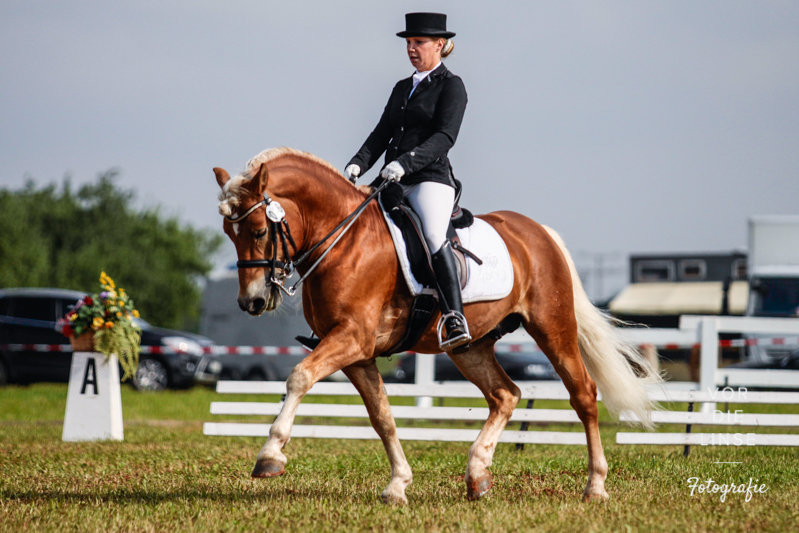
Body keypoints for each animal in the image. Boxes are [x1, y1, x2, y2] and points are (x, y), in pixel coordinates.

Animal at [216, 149, 660, 502]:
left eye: (259, 230)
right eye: (228, 234)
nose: (251, 302)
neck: (346, 240)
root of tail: (539, 232)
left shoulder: (351, 339)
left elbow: (299, 377)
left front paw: (270, 455)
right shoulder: (356, 353)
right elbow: (382, 416)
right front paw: (398, 485)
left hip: (553, 328)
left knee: (583, 394)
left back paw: (595, 486)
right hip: (470, 346)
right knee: (505, 395)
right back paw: (478, 475)